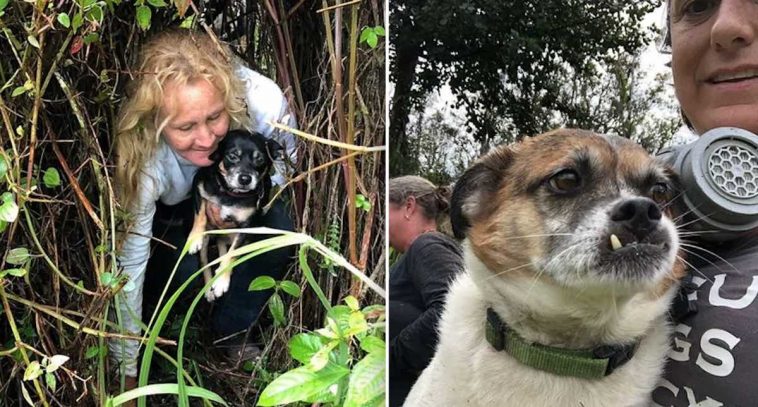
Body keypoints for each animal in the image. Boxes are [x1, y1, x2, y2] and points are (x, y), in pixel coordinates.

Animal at [189, 131, 284, 302]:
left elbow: (232, 253)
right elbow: (200, 215)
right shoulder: (198, 187)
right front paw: (194, 237)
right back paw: (208, 290)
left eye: (259, 159)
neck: (231, 194)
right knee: (204, 262)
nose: (245, 179)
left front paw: (221, 281)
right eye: (232, 156)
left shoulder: (246, 227)